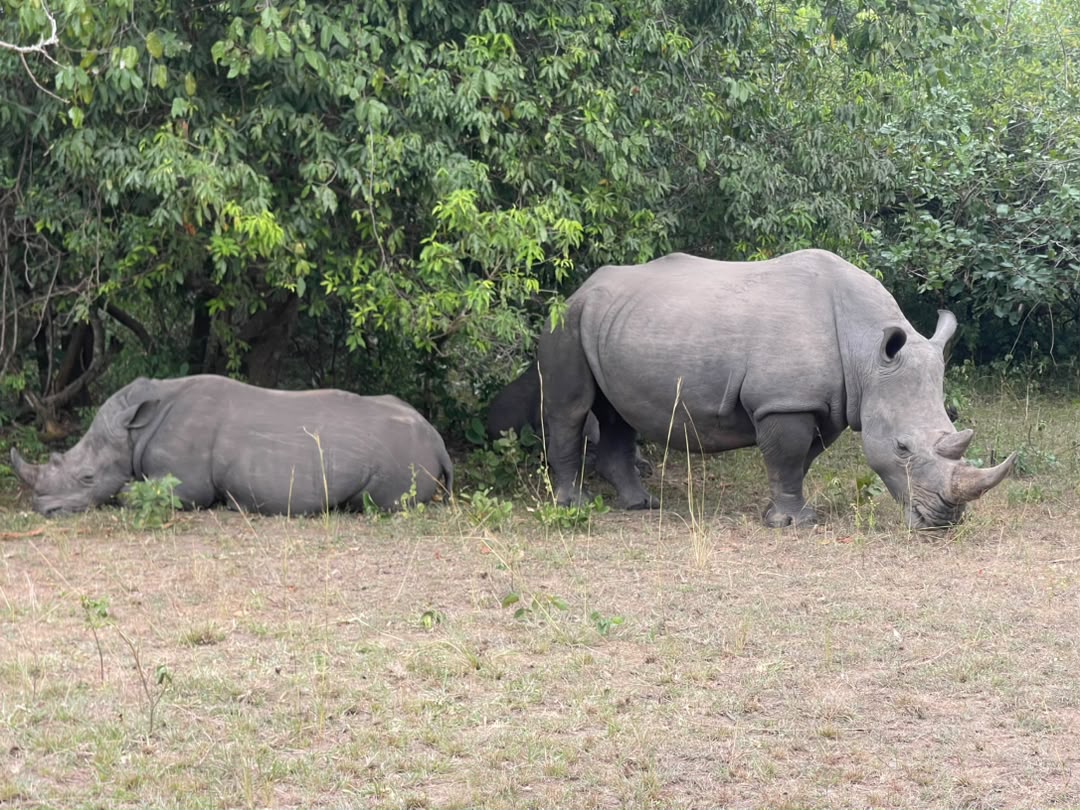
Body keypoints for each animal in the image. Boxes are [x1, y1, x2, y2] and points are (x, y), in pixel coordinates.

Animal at [10, 375, 453, 516]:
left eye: (87, 478)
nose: (41, 508)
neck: (135, 427)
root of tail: (439, 441)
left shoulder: (185, 486)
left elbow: (129, 494)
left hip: (401, 456)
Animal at [535, 249, 1015, 529]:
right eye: (901, 448)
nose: (946, 521)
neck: (867, 354)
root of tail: (582, 287)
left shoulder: (824, 403)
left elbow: (801, 460)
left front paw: (784, 514)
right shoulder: (784, 402)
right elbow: (787, 456)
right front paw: (794, 524)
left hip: (613, 321)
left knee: (617, 413)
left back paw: (640, 506)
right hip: (568, 319)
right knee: (572, 409)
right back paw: (575, 508)